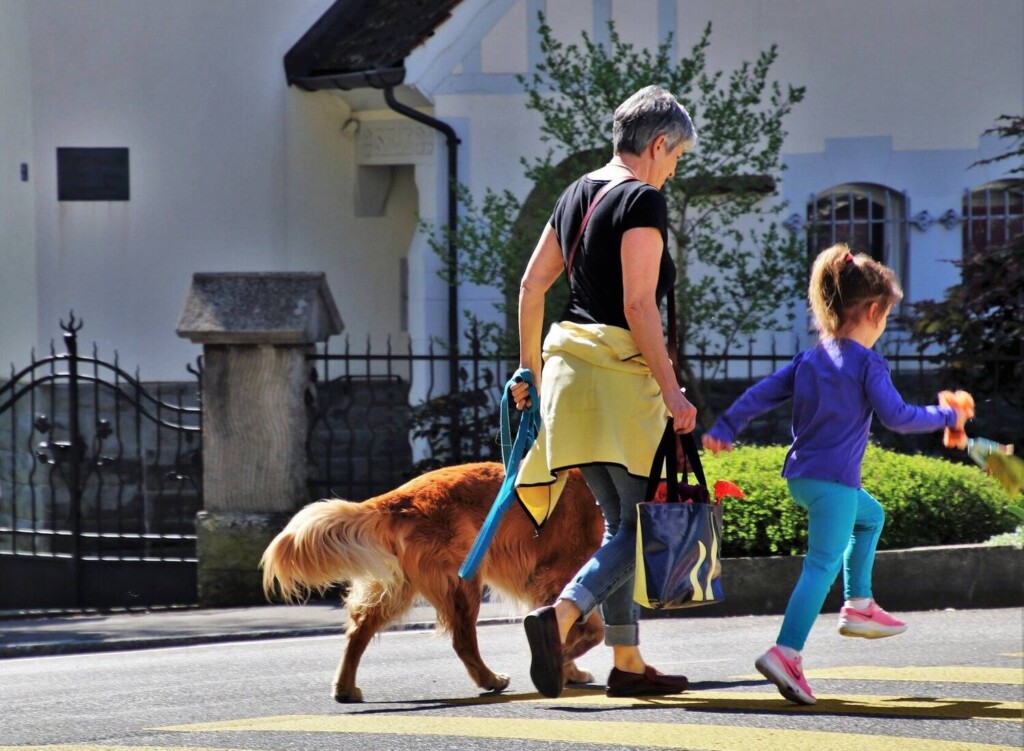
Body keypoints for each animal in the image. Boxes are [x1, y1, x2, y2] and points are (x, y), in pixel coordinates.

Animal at [260, 459, 602, 700]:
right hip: (462, 582)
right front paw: (561, 662)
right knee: (462, 640)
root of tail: (399, 498)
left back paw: (345, 688)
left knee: (358, 631)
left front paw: (567, 668)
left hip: (398, 588)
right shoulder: (561, 574)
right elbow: (587, 630)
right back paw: (490, 679)